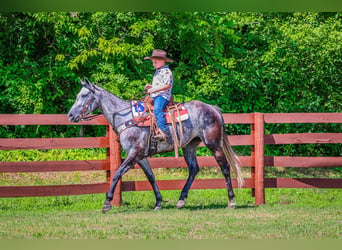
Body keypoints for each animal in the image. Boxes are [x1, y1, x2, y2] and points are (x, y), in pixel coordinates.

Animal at [67, 78, 243, 213]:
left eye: (84, 95)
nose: (70, 115)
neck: (126, 118)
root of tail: (212, 108)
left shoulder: (134, 154)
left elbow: (117, 173)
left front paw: (106, 203)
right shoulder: (140, 156)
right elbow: (151, 177)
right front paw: (158, 202)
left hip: (214, 144)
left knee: (225, 167)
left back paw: (232, 201)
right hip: (189, 147)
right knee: (193, 169)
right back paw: (181, 200)